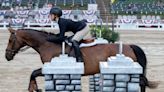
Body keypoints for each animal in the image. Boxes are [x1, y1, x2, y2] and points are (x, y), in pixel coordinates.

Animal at [4, 28, 156, 92]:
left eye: (11, 40)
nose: (7, 56)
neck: (47, 44)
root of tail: (130, 46)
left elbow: (33, 73)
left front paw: (33, 88)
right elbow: (33, 73)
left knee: (142, 82)